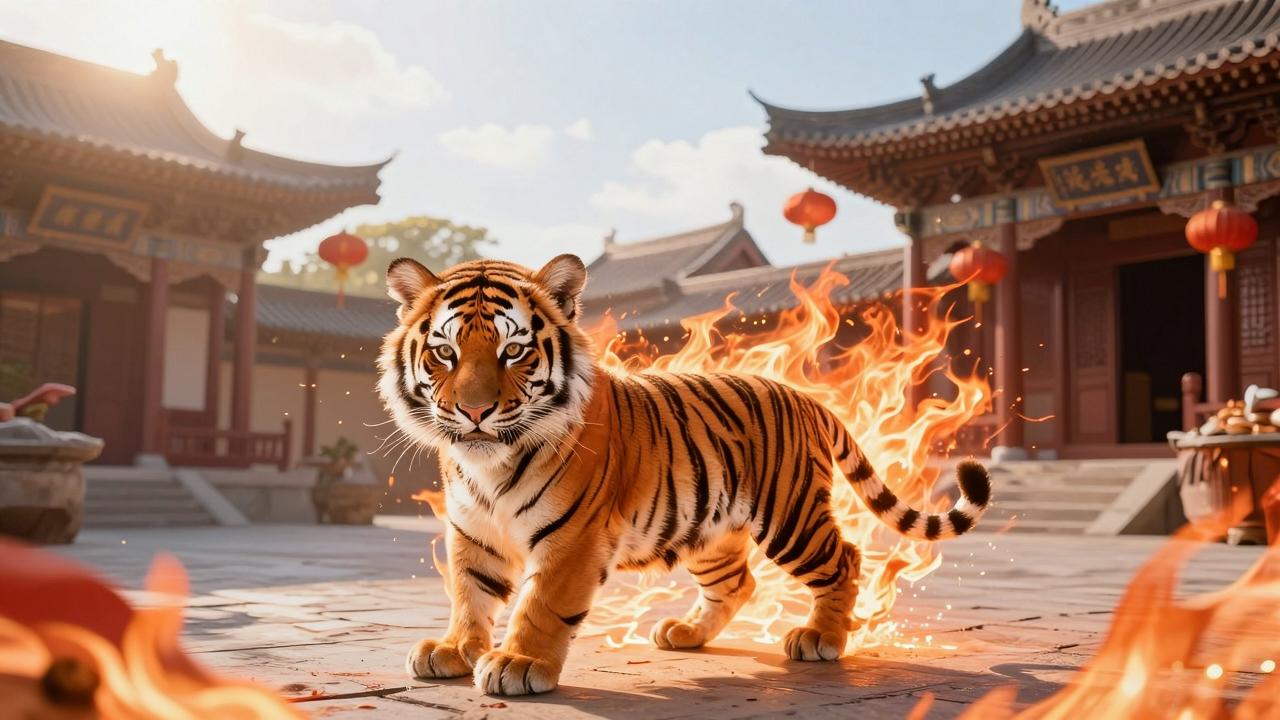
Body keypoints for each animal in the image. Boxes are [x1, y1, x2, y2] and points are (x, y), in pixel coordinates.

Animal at [377, 254, 991, 697]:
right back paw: (685, 633)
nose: (474, 411)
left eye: (513, 351)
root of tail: (804, 396)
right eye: (445, 353)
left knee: (846, 558)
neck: (487, 465)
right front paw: (453, 650)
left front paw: (518, 662)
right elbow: (470, 593)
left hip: (790, 516)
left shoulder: (572, 538)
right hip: (709, 528)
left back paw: (820, 637)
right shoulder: (472, 529)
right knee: (738, 583)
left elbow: (540, 603)